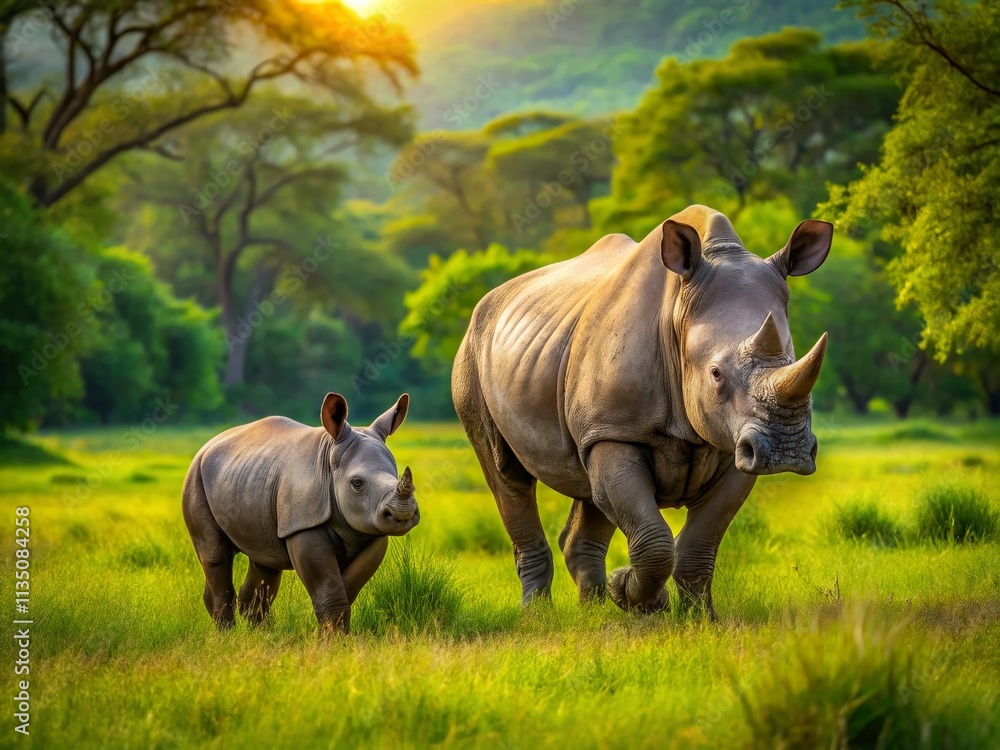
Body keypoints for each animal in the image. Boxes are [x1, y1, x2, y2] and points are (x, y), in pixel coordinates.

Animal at [182, 393, 418, 634]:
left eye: (397, 477)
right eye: (357, 483)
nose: (403, 513)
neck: (329, 459)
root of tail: (209, 443)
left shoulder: (370, 528)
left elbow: (347, 588)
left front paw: (337, 635)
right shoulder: (302, 525)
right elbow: (329, 590)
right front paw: (334, 640)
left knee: (265, 560)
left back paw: (262, 635)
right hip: (196, 476)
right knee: (215, 554)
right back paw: (227, 635)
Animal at [452, 205, 831, 617]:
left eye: (793, 360)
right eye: (715, 373)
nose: (785, 450)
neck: (679, 314)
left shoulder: (735, 443)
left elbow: (700, 542)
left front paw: (699, 618)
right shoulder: (614, 431)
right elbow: (654, 542)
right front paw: (639, 597)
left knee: (587, 488)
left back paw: (593, 612)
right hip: (472, 352)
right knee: (506, 473)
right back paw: (538, 614)